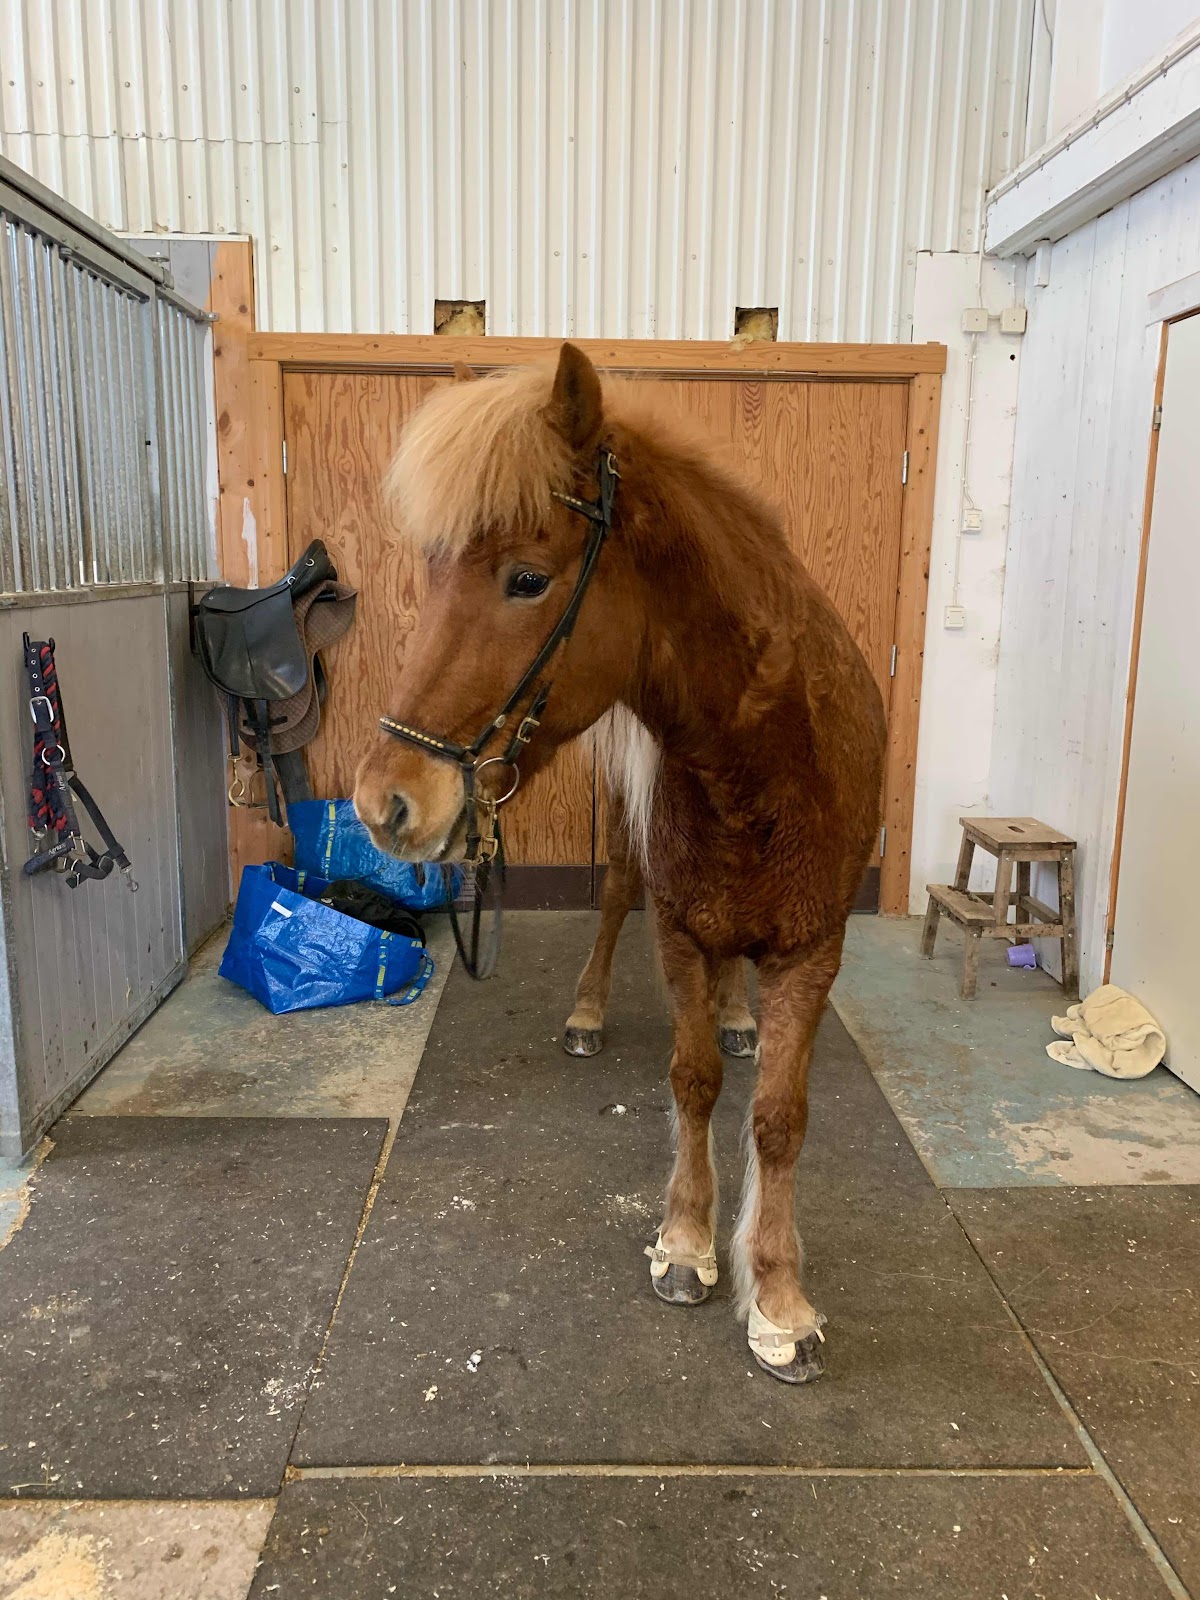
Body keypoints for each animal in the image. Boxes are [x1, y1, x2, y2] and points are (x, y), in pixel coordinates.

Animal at [354, 343, 886, 1383]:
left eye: (527, 579)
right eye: (431, 574)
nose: (382, 802)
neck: (766, 762)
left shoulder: (813, 951)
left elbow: (778, 1116)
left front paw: (780, 1301)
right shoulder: (678, 928)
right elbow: (692, 1083)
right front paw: (685, 1244)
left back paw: (736, 1015)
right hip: (627, 850)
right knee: (611, 902)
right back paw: (590, 1013)